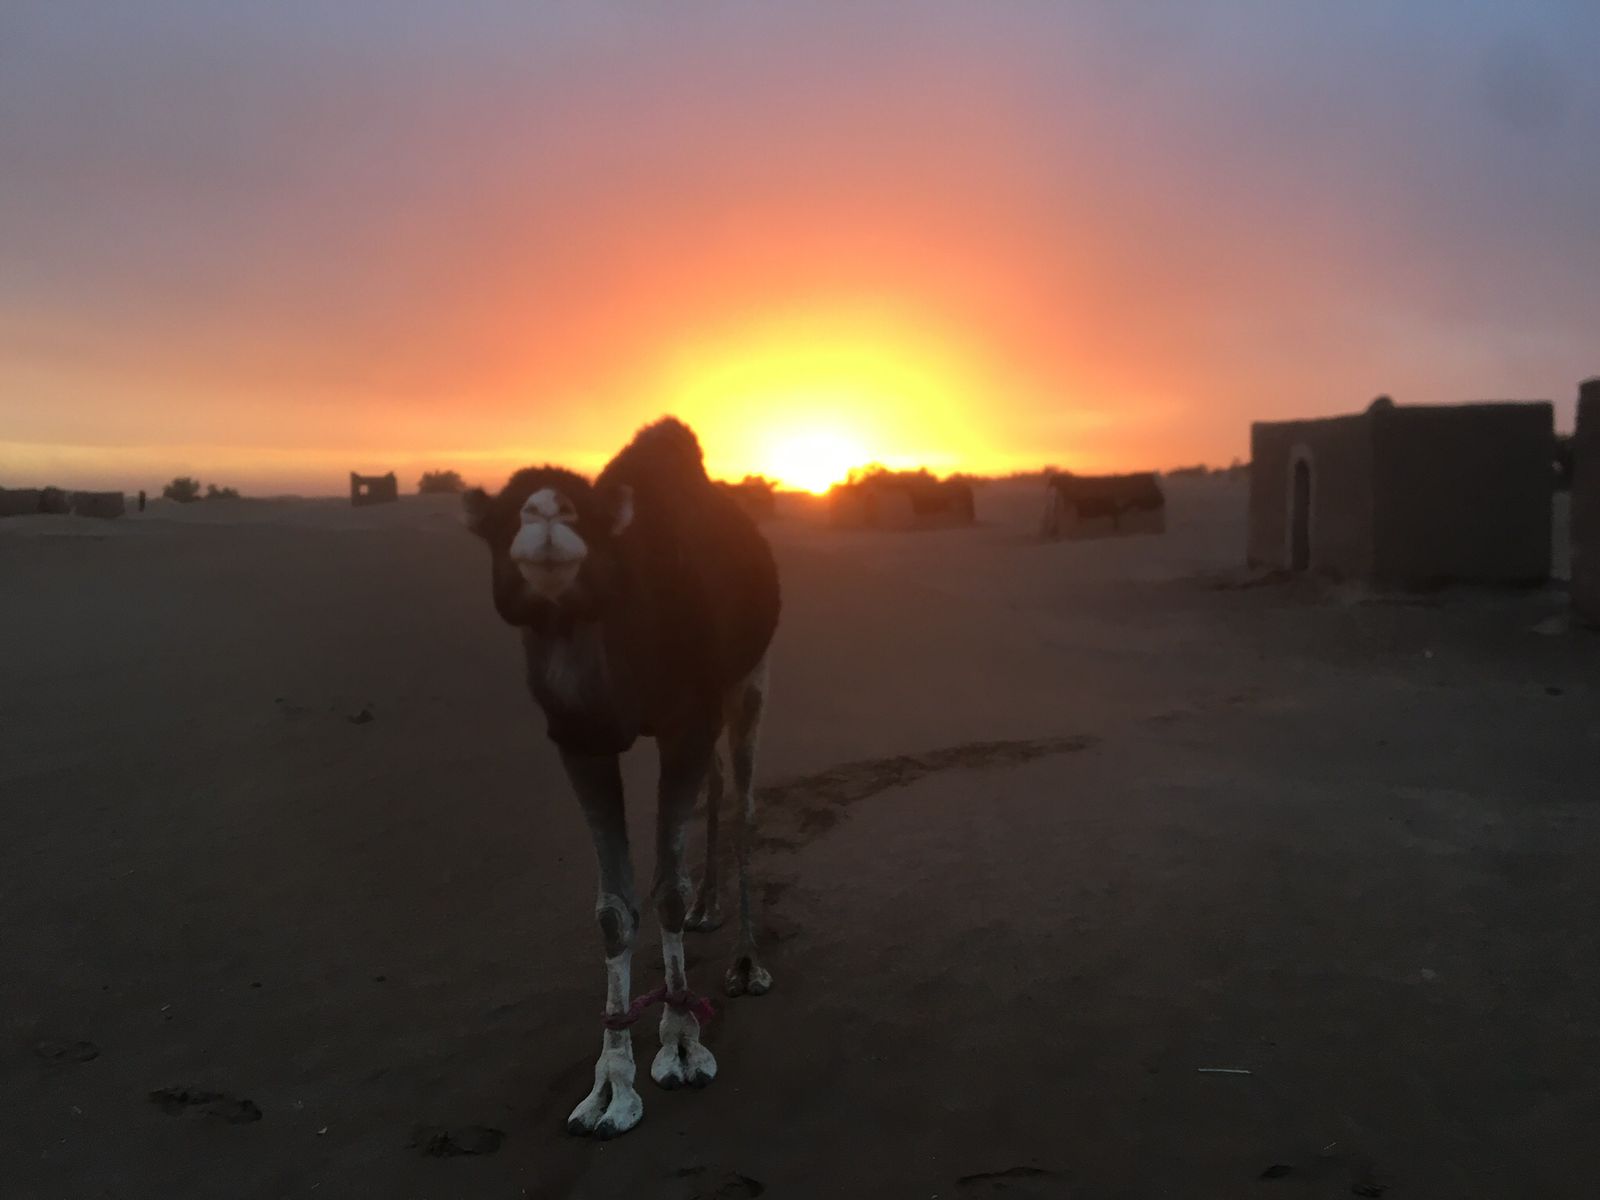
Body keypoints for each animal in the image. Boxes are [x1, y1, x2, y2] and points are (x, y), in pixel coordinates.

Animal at [462, 418, 781, 1139]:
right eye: (500, 517)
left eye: (589, 510)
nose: (547, 515)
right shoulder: (578, 739)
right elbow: (612, 909)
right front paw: (608, 1088)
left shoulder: (685, 719)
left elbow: (666, 887)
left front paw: (683, 1045)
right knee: (718, 787)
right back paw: (710, 909)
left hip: (747, 676)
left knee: (744, 799)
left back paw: (748, 961)